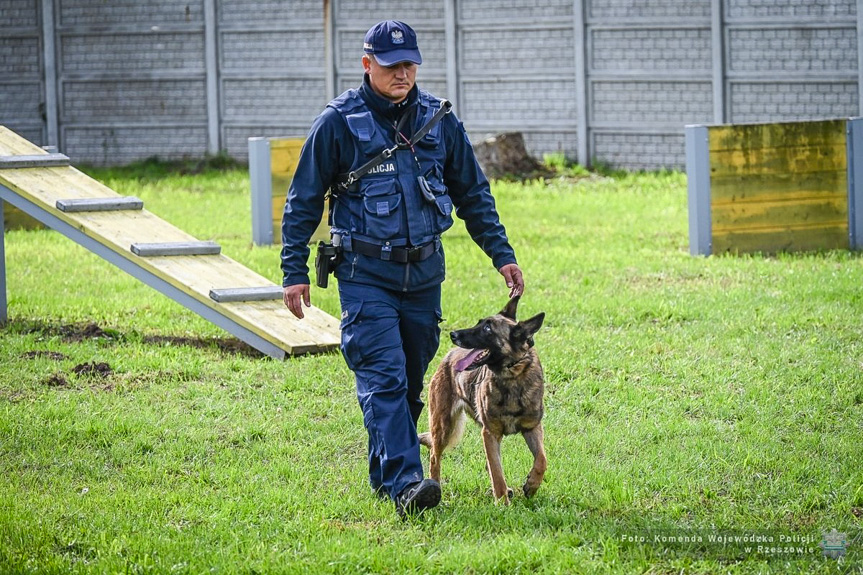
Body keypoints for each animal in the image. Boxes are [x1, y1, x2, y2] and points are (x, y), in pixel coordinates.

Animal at [418, 296, 548, 504]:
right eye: (479, 323)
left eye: (487, 329)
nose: (453, 334)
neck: (511, 375)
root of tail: (449, 356)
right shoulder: (490, 433)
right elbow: (497, 473)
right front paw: (502, 503)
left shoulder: (532, 428)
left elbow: (542, 460)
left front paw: (532, 485)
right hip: (443, 426)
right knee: (434, 458)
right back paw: (435, 489)